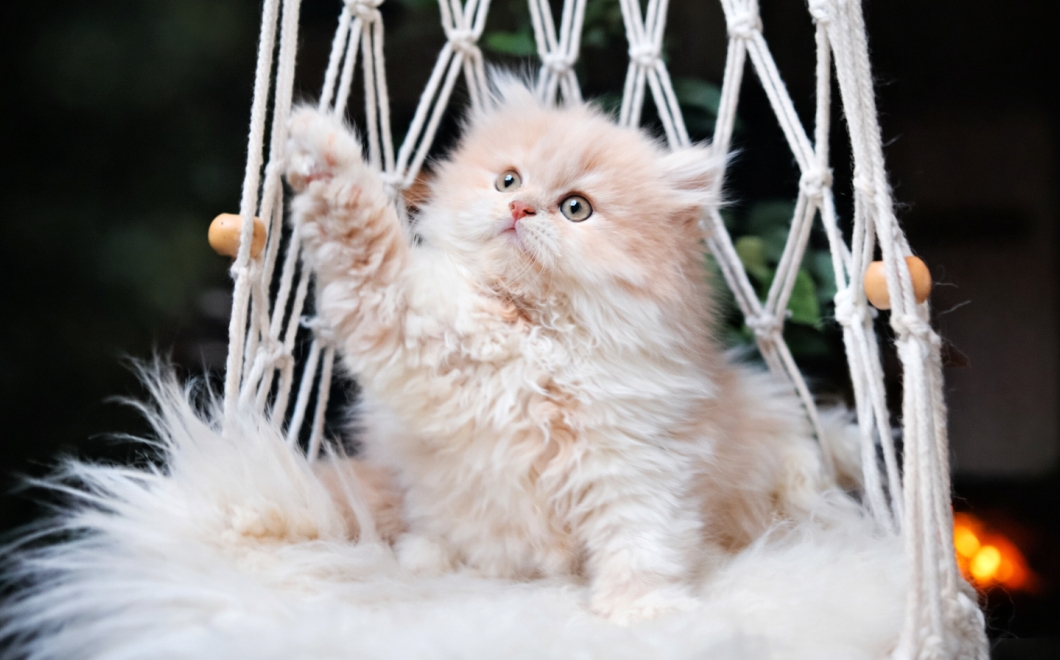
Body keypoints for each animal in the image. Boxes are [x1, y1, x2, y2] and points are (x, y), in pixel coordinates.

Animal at [284, 76, 856, 625]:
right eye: (508, 180)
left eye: (575, 208)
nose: (518, 207)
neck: (535, 332)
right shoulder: (408, 319)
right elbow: (365, 241)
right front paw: (316, 147)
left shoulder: (639, 460)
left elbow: (640, 541)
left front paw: (644, 611)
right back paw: (431, 555)